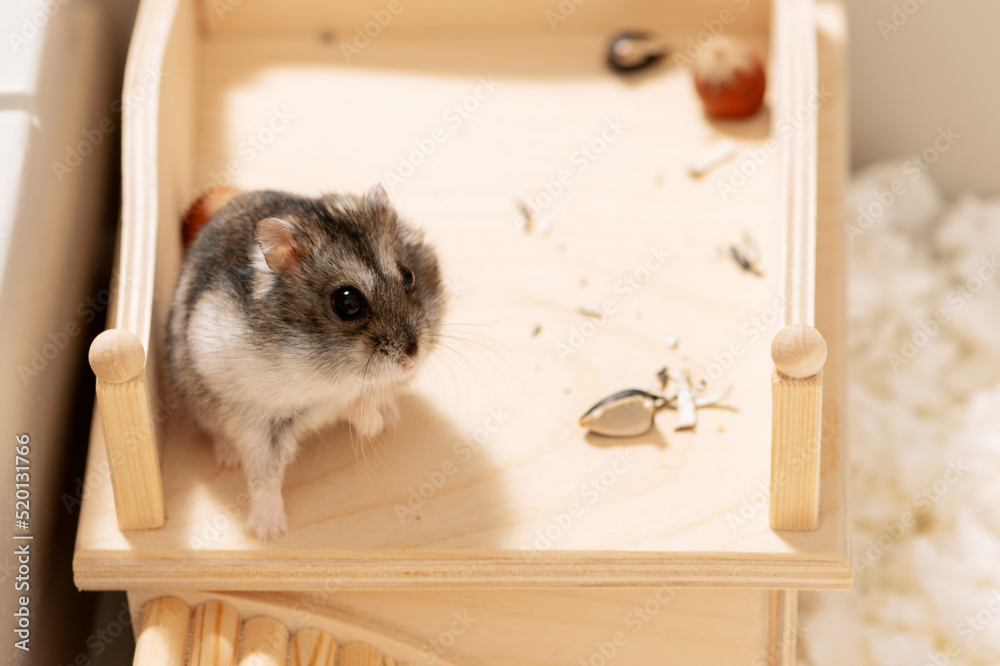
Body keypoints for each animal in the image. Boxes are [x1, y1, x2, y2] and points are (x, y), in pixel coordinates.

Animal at [166, 185, 444, 540]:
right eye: (348, 302)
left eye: (408, 276)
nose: (412, 356)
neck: (330, 373)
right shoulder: (257, 423)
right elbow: (265, 475)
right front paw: (269, 532)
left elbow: (361, 398)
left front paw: (374, 426)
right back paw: (229, 460)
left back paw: (391, 416)